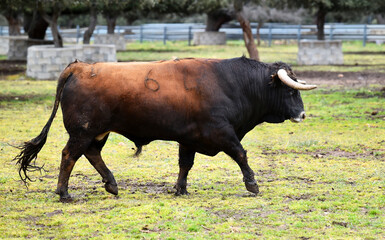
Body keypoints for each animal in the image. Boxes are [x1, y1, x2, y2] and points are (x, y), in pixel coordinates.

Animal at [14, 56, 316, 201]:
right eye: (291, 92)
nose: (302, 114)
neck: (233, 83)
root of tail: (79, 67)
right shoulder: (221, 132)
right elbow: (241, 154)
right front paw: (252, 184)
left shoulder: (189, 138)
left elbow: (185, 164)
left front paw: (180, 188)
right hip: (83, 131)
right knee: (69, 156)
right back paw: (64, 194)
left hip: (98, 132)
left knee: (92, 154)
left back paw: (111, 184)